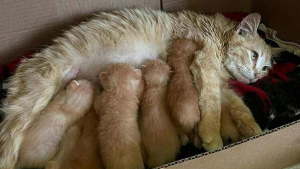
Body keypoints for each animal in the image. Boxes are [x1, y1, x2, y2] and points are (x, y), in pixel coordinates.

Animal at [0, 7, 270, 168]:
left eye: (267, 67)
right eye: (254, 55)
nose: (257, 76)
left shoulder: (220, 83)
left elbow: (237, 105)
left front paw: (253, 129)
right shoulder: (205, 65)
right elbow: (211, 104)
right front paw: (212, 136)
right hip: (34, 93)